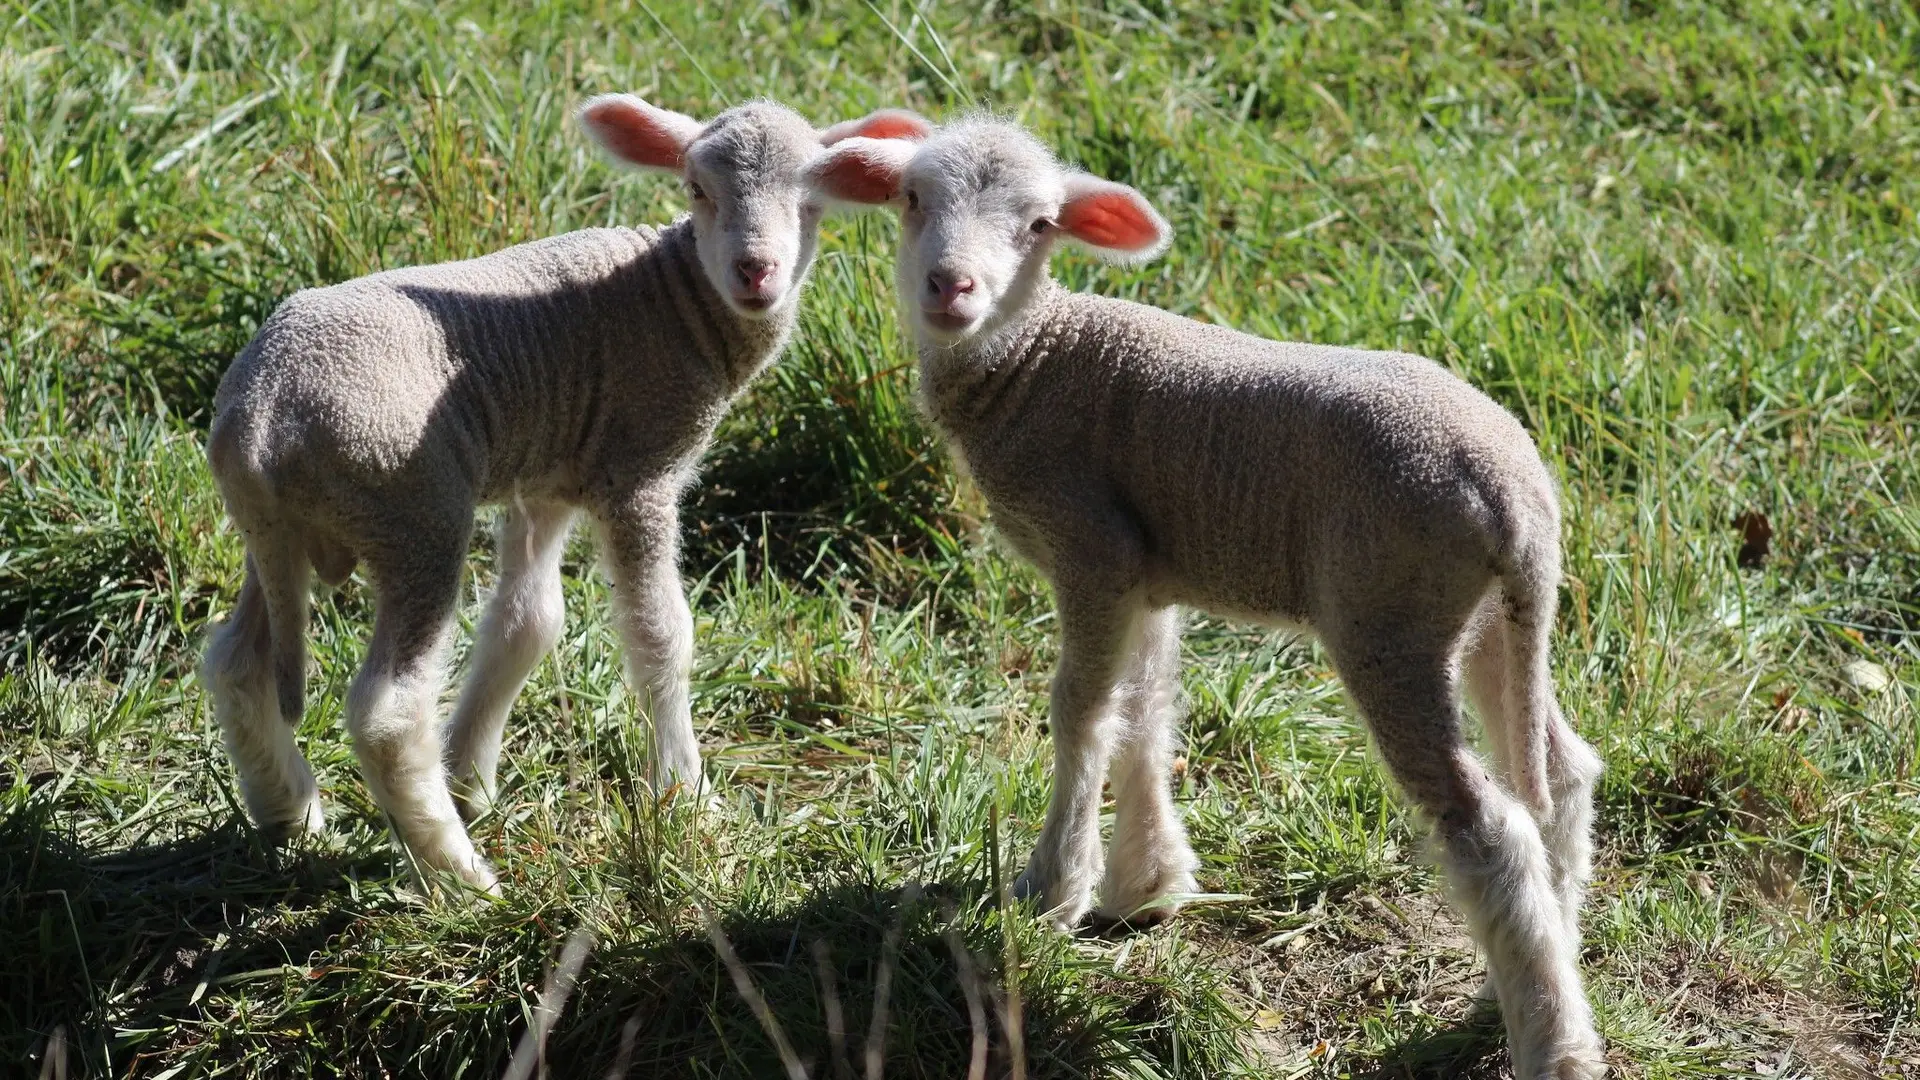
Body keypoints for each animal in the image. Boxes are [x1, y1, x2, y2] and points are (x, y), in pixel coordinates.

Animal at [200, 92, 929, 887]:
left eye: (811, 202)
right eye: (697, 190)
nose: (755, 271)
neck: (676, 298)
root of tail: (261, 414)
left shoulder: (547, 475)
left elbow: (527, 623)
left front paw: (471, 775)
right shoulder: (638, 472)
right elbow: (660, 636)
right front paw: (687, 796)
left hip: (277, 532)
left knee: (237, 662)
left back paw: (289, 809)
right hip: (413, 509)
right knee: (387, 715)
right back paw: (461, 878)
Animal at [817, 119, 1612, 1076]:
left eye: (1040, 225)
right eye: (910, 199)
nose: (950, 286)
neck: (1032, 356)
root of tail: (1514, 497)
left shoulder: (1090, 546)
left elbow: (1080, 709)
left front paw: (1051, 888)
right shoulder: (1147, 568)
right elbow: (1145, 706)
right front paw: (1144, 883)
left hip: (1387, 615)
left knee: (1490, 826)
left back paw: (1552, 1046)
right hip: (1496, 614)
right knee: (1561, 773)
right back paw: (1531, 988)